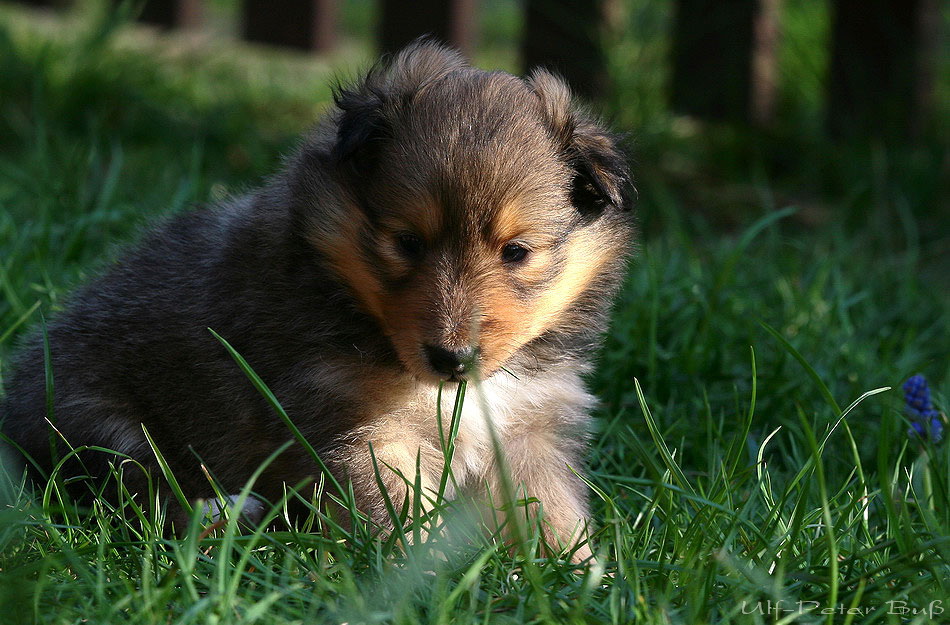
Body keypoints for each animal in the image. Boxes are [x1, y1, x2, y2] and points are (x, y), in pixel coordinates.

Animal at [5, 44, 640, 560]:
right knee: (139, 489)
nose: (453, 360)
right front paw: (428, 579)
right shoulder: (363, 429)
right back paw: (224, 515)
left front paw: (585, 579)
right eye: (407, 242)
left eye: (517, 251)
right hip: (95, 419)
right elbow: (403, 517)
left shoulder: (532, 428)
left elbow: (555, 513)